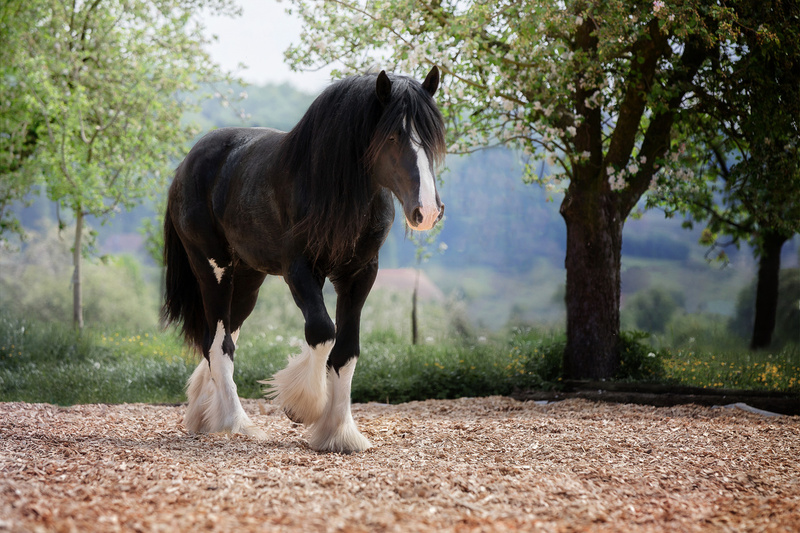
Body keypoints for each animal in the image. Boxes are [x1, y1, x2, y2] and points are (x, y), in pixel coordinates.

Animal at [159, 66, 446, 454]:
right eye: (392, 136)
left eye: (432, 138)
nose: (427, 211)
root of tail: (188, 163)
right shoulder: (299, 270)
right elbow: (323, 332)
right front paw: (302, 407)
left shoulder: (360, 274)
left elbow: (347, 350)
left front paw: (340, 432)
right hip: (213, 268)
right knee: (219, 344)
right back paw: (237, 423)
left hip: (247, 279)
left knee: (219, 339)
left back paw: (205, 415)